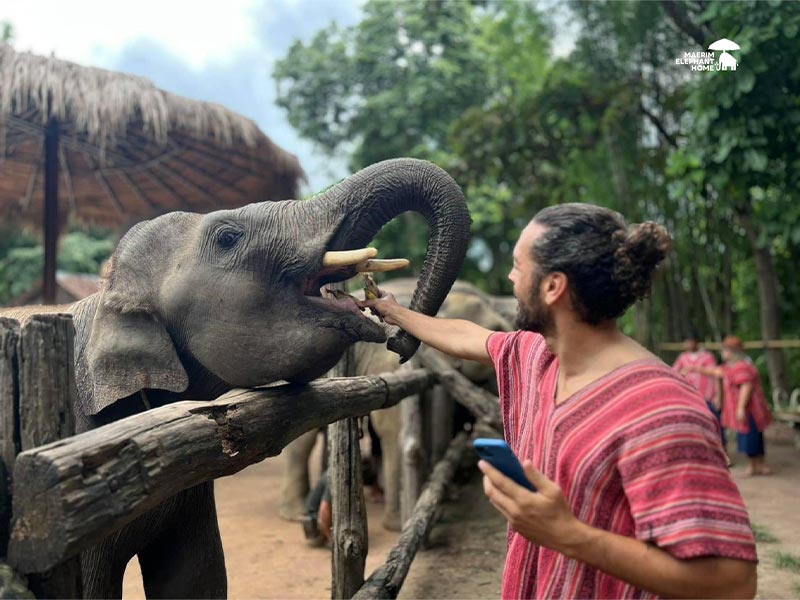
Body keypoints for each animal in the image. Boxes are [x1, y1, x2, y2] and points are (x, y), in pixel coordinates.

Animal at [279, 278, 512, 531]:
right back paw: (297, 514)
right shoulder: (390, 364)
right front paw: (398, 524)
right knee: (301, 432)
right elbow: (392, 428)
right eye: (498, 329)